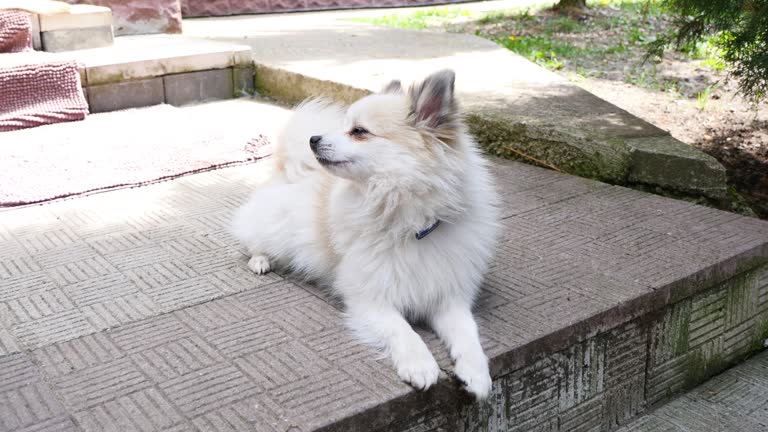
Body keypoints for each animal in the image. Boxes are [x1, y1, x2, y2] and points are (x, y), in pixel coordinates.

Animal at [231, 70, 500, 398]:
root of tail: (290, 168)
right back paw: (260, 261)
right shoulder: (370, 299)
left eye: (358, 131)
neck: (411, 225)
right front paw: (420, 365)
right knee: (252, 241)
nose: (313, 139)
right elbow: (403, 331)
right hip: (274, 229)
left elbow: (467, 334)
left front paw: (476, 372)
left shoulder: (448, 297)